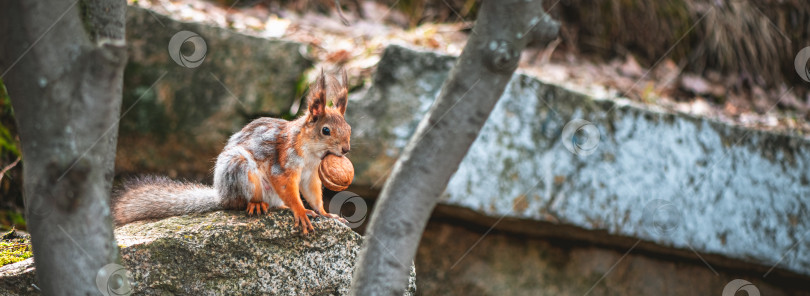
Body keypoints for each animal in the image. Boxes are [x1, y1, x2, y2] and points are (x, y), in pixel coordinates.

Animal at [113, 69, 350, 234]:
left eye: (348, 128)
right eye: (326, 130)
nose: (346, 149)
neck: (311, 153)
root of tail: (221, 196)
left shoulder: (311, 174)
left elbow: (313, 193)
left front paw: (326, 213)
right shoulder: (283, 163)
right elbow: (287, 186)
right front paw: (300, 211)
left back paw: (280, 207)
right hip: (238, 169)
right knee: (240, 203)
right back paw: (256, 204)